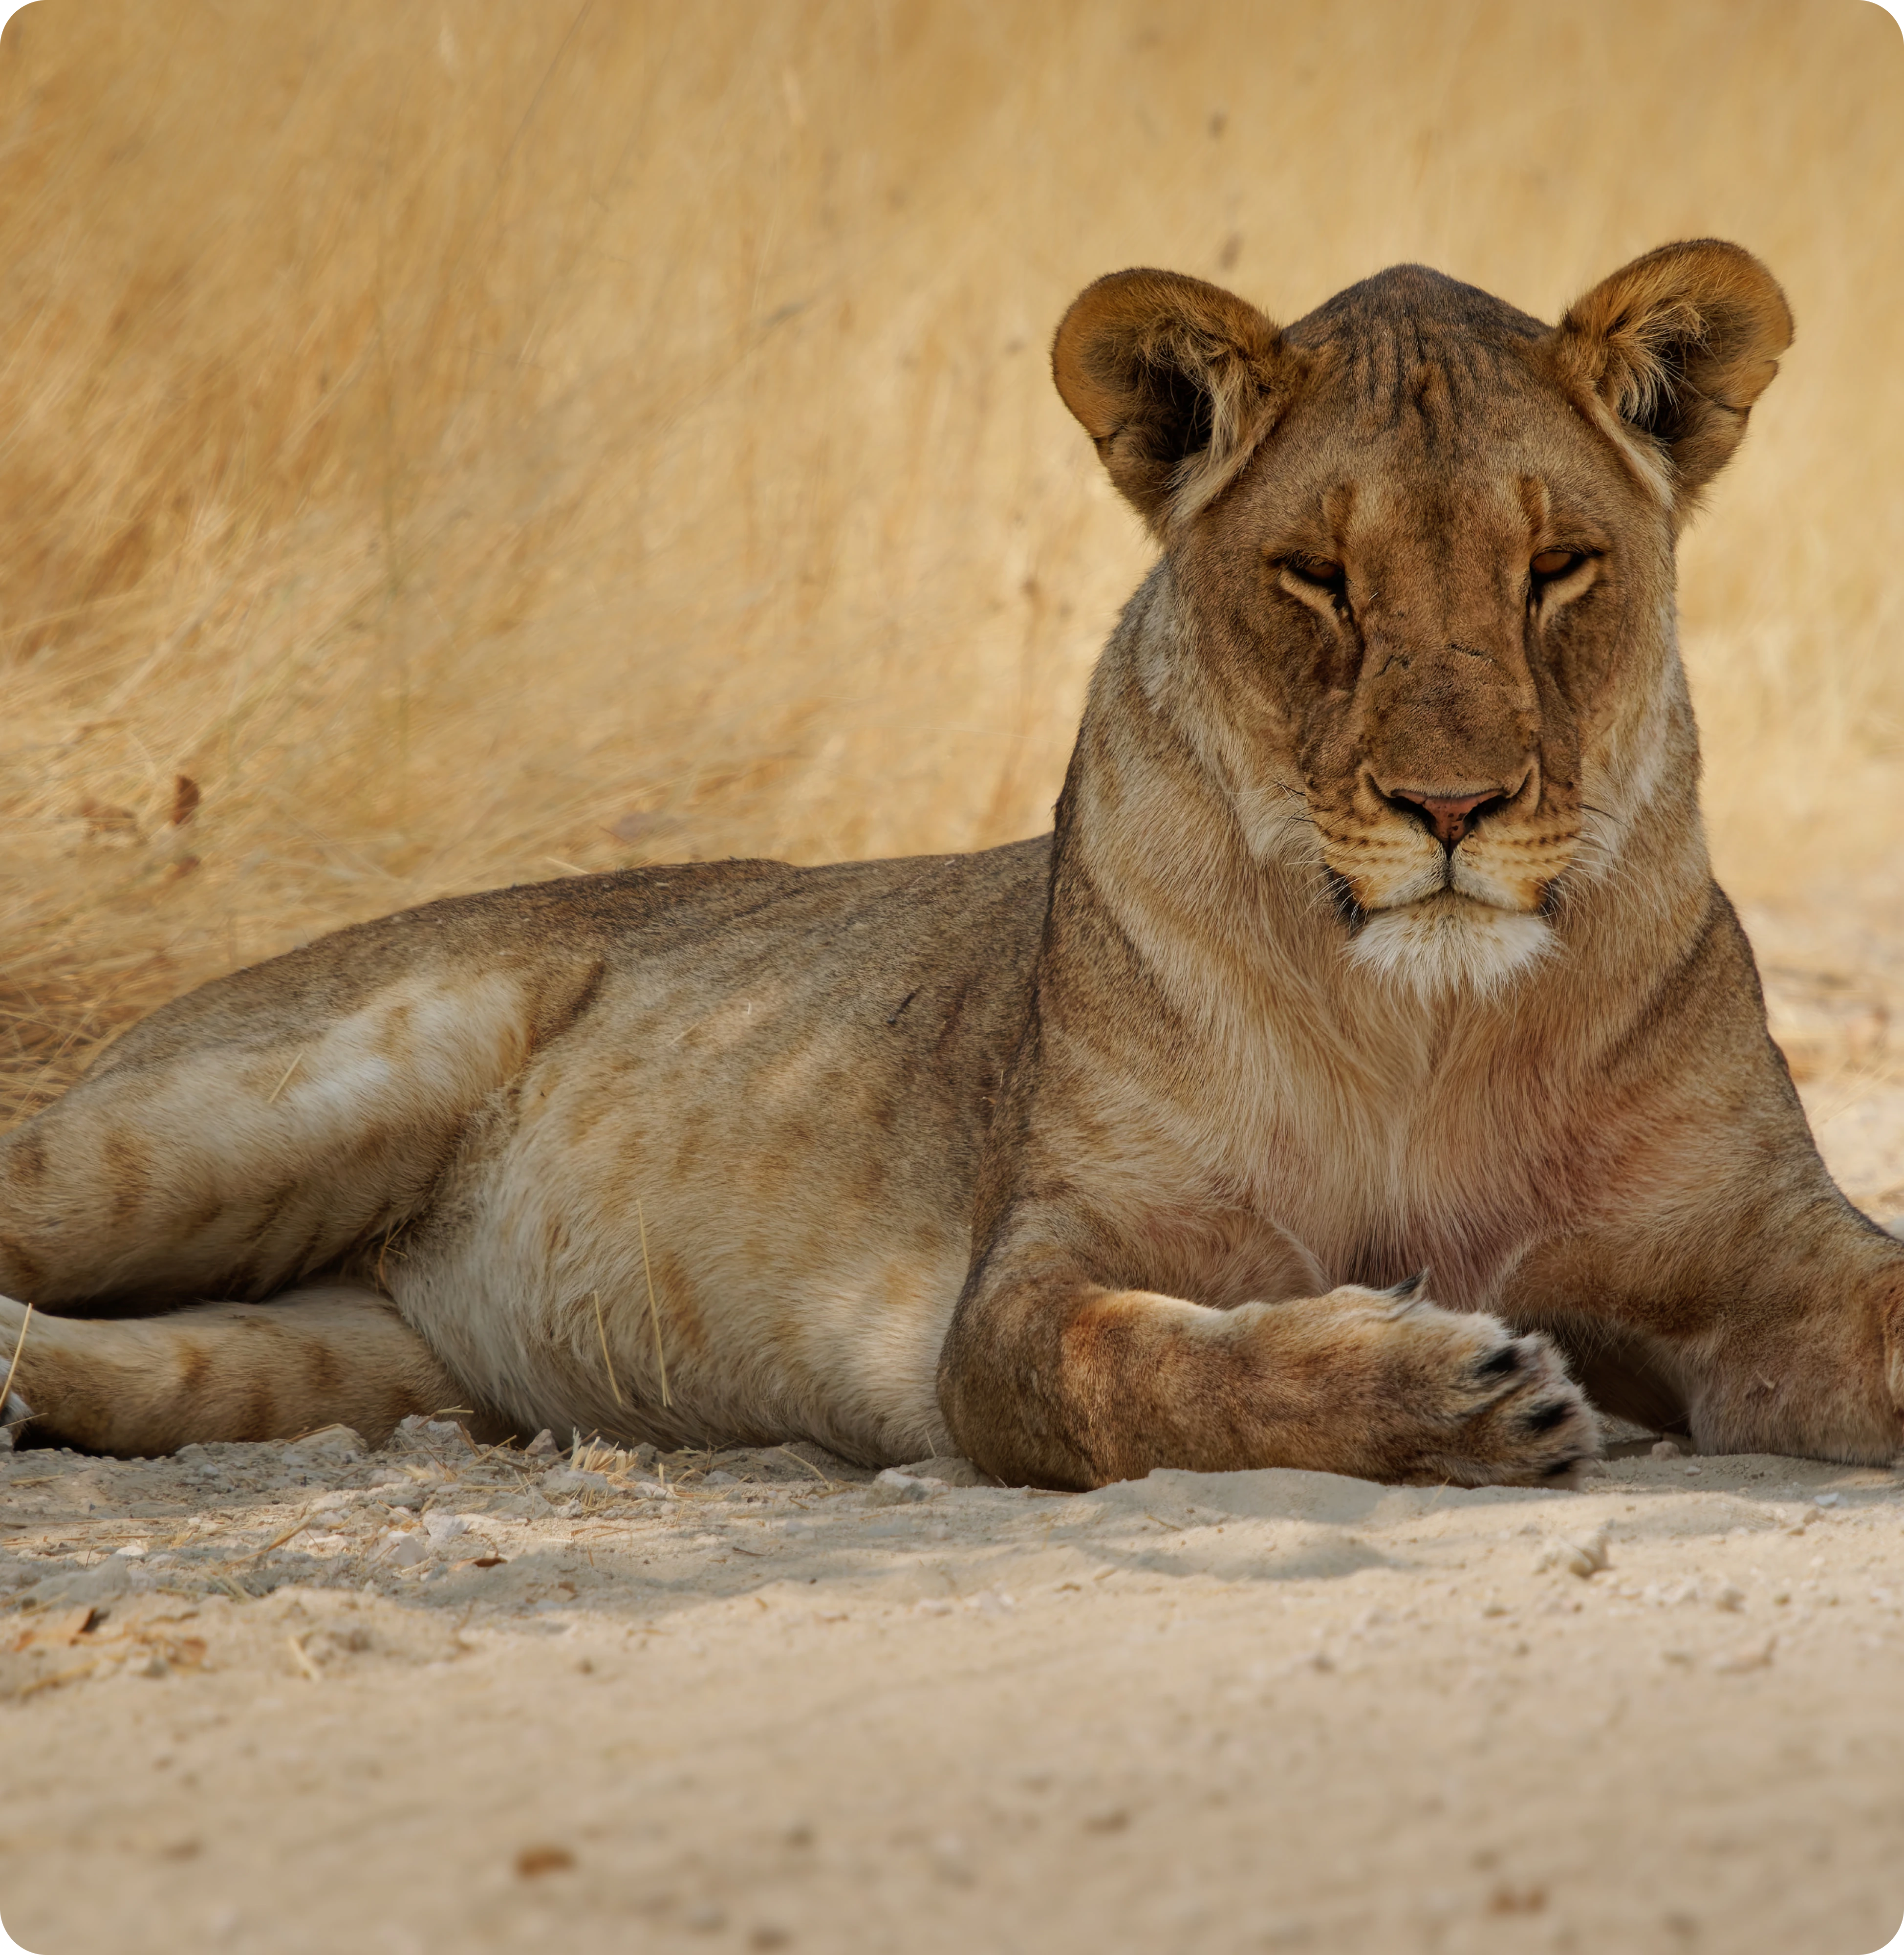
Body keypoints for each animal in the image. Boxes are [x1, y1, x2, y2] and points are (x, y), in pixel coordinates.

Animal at [4, 238, 1900, 1489]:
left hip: (326, 1350)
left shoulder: (1752, 1243)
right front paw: (1454, 1393)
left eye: (1556, 566)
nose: (1453, 806)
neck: (1419, 1027)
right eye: (1315, 576)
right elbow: (1143, 1369)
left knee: (145, 1359)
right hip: (219, 1128)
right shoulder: (1020, 1291)